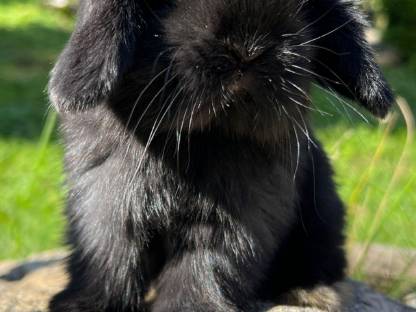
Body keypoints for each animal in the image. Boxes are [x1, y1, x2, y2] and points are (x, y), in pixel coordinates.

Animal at [48, 1, 394, 310]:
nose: (248, 47)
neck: (193, 141)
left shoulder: (241, 213)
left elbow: (208, 260)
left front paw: (194, 306)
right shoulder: (105, 201)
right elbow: (111, 256)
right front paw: (82, 304)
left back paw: (313, 294)